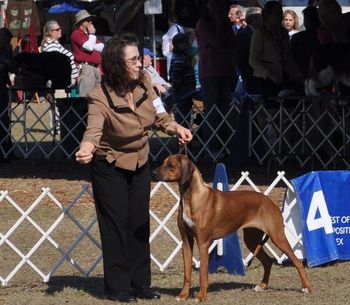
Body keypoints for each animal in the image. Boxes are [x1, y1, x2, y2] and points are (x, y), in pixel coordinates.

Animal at [154, 153, 312, 300]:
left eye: (170, 166)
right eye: (163, 163)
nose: (153, 173)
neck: (190, 197)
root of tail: (271, 201)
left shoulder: (203, 242)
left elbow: (203, 273)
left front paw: (201, 296)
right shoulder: (186, 242)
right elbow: (187, 273)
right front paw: (183, 295)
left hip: (277, 236)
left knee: (297, 261)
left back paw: (306, 287)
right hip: (251, 240)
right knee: (267, 262)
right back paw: (262, 286)